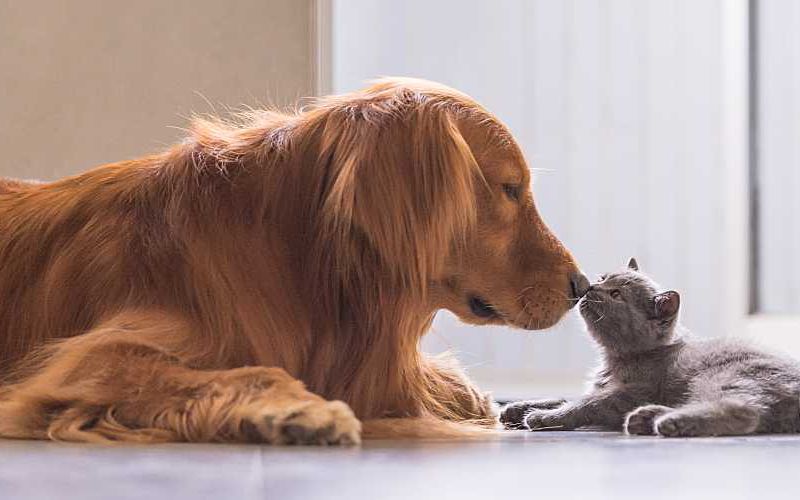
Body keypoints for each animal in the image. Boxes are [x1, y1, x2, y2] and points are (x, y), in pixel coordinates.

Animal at [0, 79, 588, 446]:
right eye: (510, 189)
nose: (581, 285)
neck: (297, 255)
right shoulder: (91, 357)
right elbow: (255, 369)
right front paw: (301, 408)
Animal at [500, 260, 800, 436]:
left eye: (616, 294)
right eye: (603, 277)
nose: (590, 287)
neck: (615, 359)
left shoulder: (632, 392)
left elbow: (587, 404)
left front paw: (545, 417)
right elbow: (567, 395)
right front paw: (518, 408)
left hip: (726, 376)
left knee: (745, 412)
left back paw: (671, 422)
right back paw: (647, 417)